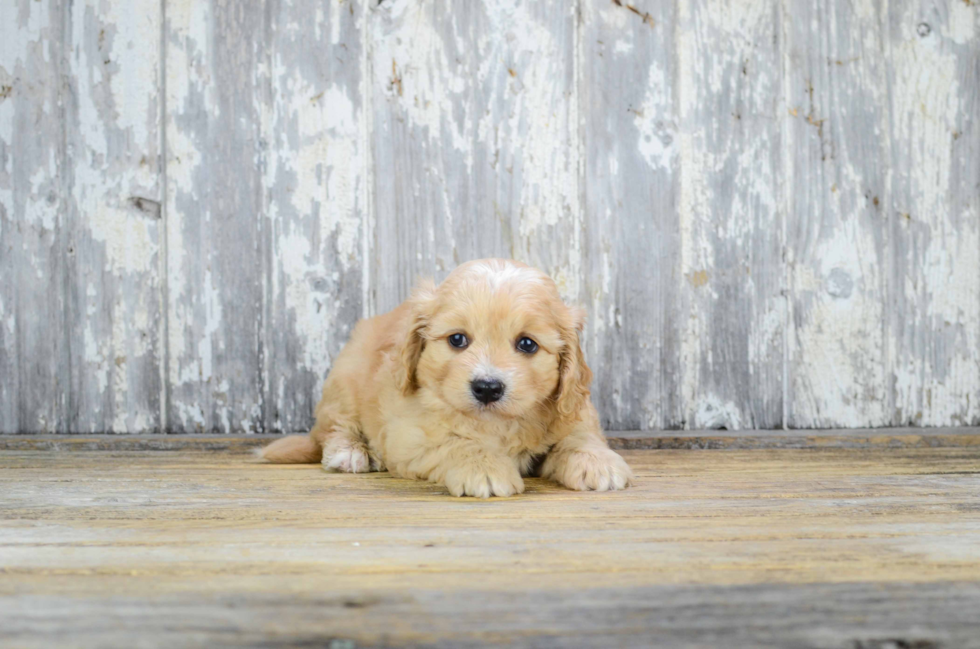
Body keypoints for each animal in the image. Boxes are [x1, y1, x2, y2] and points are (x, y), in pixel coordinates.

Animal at [256, 258, 632, 496]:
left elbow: (579, 436)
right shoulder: (409, 436)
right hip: (344, 377)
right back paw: (350, 453)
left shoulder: (575, 409)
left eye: (527, 344)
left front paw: (598, 463)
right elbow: (456, 442)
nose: (487, 388)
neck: (496, 425)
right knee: (334, 427)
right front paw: (485, 469)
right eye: (457, 339)